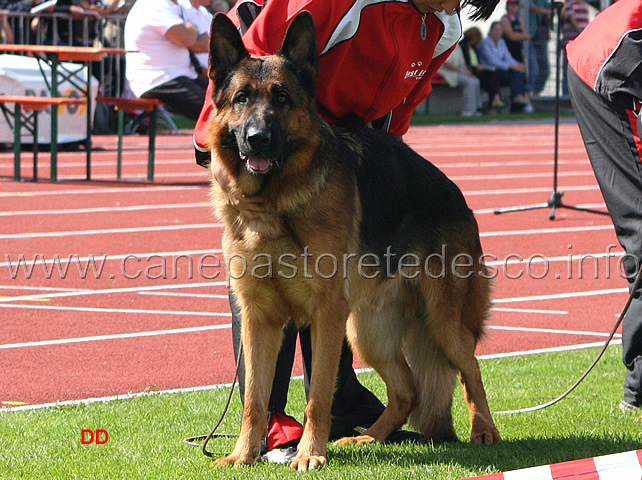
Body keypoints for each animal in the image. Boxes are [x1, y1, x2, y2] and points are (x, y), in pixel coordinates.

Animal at [205, 10, 500, 468]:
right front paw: (244, 454)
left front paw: (309, 454)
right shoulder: (258, 318)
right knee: (408, 390)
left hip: (441, 320)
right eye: (242, 98)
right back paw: (370, 438)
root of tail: (455, 194)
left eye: (282, 99)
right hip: (366, 330)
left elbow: (319, 396)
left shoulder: (325, 315)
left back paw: (483, 430)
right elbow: (255, 397)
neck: (274, 205)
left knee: (470, 367)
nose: (258, 139)